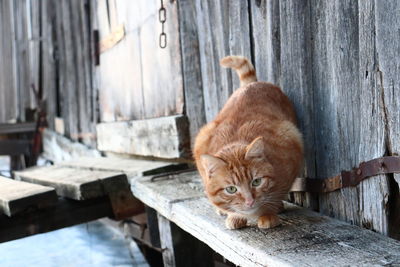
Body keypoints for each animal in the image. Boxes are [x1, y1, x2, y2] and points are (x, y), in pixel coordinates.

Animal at [194, 55, 304, 230]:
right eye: (231, 189)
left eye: (256, 182)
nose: (250, 201)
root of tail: (251, 84)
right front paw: (234, 215)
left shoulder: (291, 140)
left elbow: (277, 194)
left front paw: (269, 213)